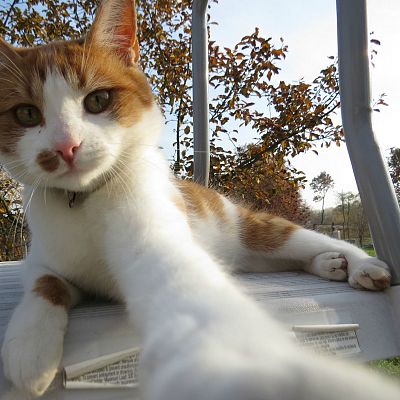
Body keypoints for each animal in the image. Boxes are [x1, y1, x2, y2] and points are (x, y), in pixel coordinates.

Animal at [0, 0, 398, 398]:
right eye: (26, 113)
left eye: (97, 100)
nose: (65, 147)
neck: (82, 200)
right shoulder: (45, 258)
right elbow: (44, 281)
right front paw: (30, 347)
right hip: (254, 260)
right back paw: (329, 265)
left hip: (260, 231)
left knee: (313, 240)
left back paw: (358, 264)